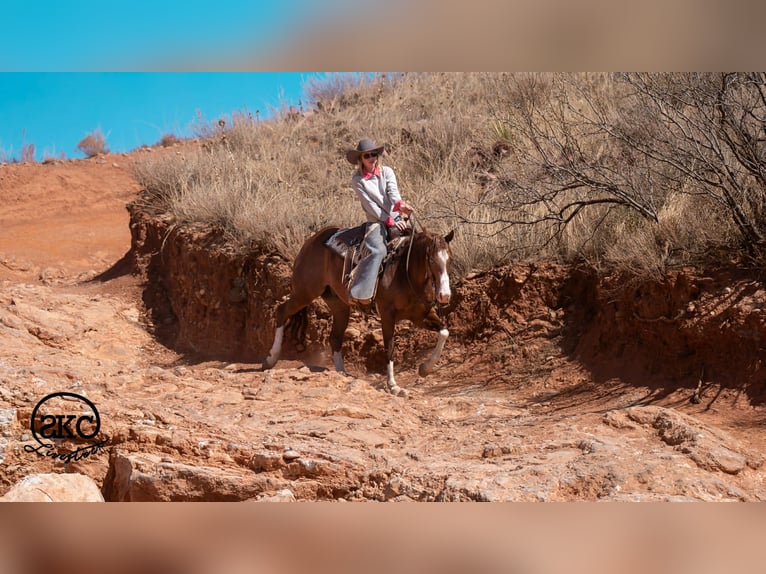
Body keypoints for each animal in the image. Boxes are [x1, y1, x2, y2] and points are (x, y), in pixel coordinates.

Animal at [262, 225, 454, 396]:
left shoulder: (421, 316)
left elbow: (444, 332)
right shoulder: (387, 315)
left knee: (335, 337)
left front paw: (425, 368)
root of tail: (313, 239)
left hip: (338, 305)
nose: (445, 296)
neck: (404, 273)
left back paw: (342, 373)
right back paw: (270, 358)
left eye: (449, 260)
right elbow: (389, 348)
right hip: (305, 292)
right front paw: (393, 386)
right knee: (281, 312)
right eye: (431, 259)